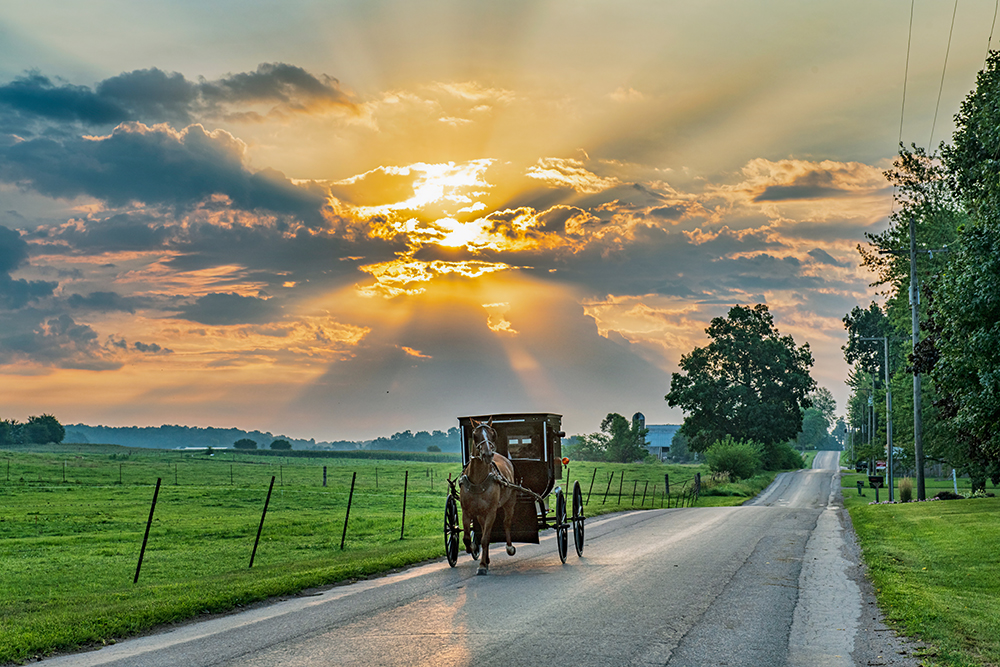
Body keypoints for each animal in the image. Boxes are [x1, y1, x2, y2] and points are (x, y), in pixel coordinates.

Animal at [458, 418, 516, 576]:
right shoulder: (466, 512)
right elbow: (467, 537)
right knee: (483, 528)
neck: (478, 480)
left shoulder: (491, 512)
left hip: (509, 503)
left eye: (492, 434)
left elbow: (485, 539)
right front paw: (472, 548)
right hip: (480, 513)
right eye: (475, 435)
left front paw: (482, 565)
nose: (488, 454)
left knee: (506, 523)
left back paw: (509, 547)